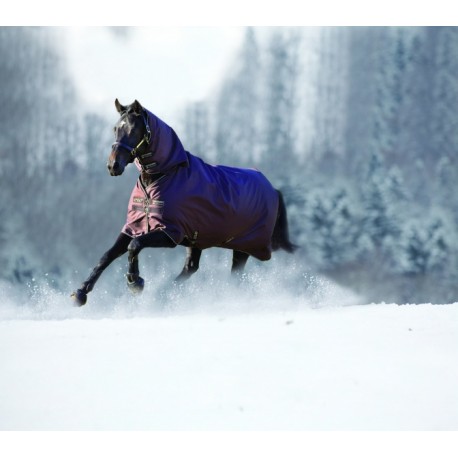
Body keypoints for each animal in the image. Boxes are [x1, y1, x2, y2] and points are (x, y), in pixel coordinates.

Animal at [70, 100, 296, 308]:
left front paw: (135, 282)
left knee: (233, 275)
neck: (162, 176)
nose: (113, 165)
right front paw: (80, 293)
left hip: (243, 246)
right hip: (199, 241)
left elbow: (135, 246)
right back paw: (164, 295)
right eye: (116, 128)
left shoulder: (169, 233)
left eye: (134, 129)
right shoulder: (134, 226)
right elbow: (108, 255)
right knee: (191, 268)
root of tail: (272, 189)